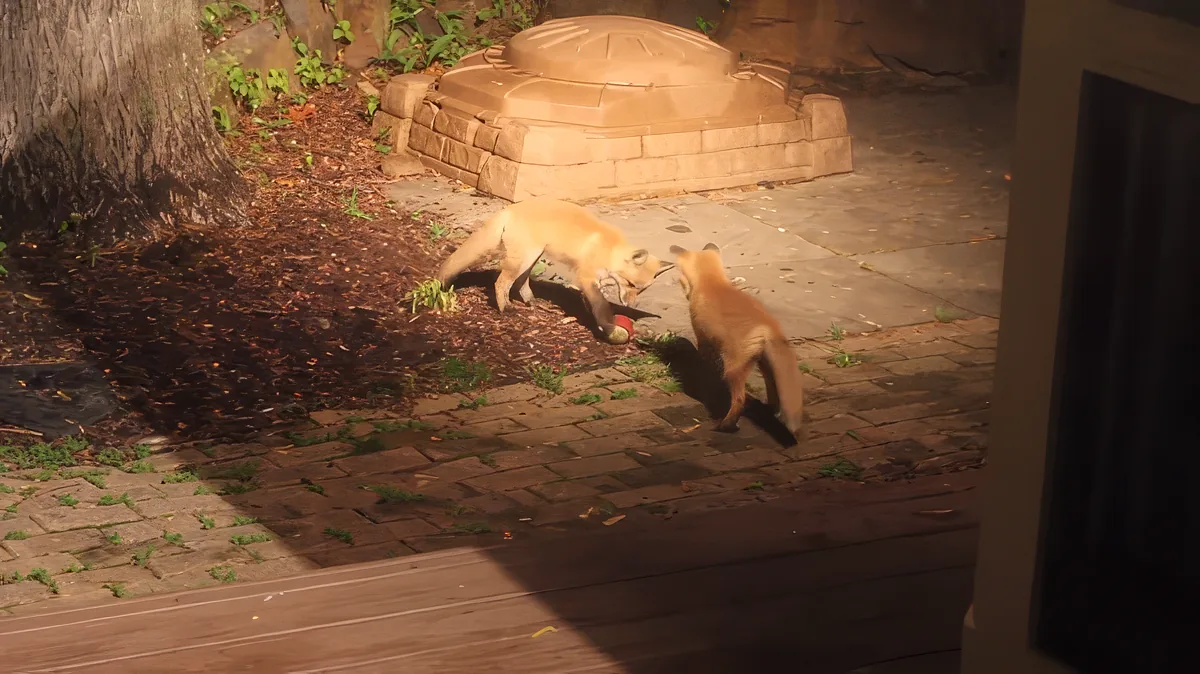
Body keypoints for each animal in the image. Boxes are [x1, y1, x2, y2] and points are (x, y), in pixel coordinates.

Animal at [437, 198, 673, 341]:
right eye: (630, 284)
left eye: (640, 289)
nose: (631, 304)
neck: (609, 251)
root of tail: (510, 208)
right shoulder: (586, 278)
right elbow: (602, 307)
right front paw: (609, 328)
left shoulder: (593, 282)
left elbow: (592, 303)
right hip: (524, 258)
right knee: (501, 281)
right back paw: (505, 308)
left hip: (532, 257)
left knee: (521, 282)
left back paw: (531, 301)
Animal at [670, 243, 805, 437]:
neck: (713, 283)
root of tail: (768, 324)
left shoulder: (703, 338)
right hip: (762, 364)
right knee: (773, 391)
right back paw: (770, 411)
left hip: (733, 370)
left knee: (740, 399)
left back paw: (726, 425)